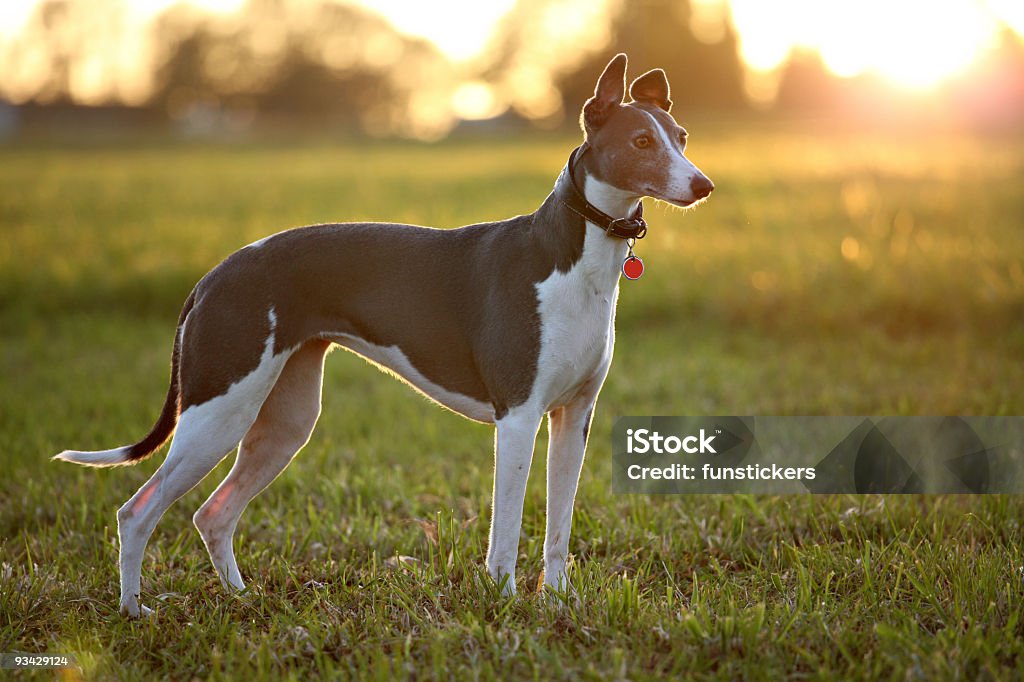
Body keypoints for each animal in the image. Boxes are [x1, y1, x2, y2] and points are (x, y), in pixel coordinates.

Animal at [56, 54, 712, 614]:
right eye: (641, 141)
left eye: (681, 137)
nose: (703, 185)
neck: (571, 257)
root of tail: (214, 275)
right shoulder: (518, 418)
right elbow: (505, 528)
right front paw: (502, 602)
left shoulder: (573, 419)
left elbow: (558, 527)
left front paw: (556, 603)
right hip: (218, 410)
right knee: (137, 511)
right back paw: (133, 610)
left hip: (283, 421)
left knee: (213, 514)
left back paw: (242, 599)